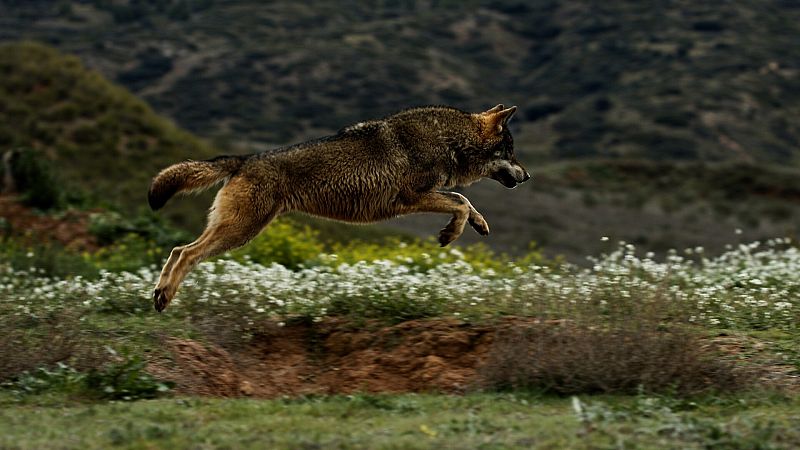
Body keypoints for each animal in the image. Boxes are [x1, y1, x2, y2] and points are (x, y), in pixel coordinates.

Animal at [148, 104, 530, 312]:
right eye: (510, 151)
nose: (528, 175)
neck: (447, 139)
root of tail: (244, 158)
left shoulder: (423, 196)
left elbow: (465, 202)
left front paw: (479, 224)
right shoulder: (410, 198)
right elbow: (460, 202)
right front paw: (450, 234)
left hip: (238, 230)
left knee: (177, 250)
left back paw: (159, 295)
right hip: (240, 232)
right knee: (185, 252)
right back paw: (164, 295)